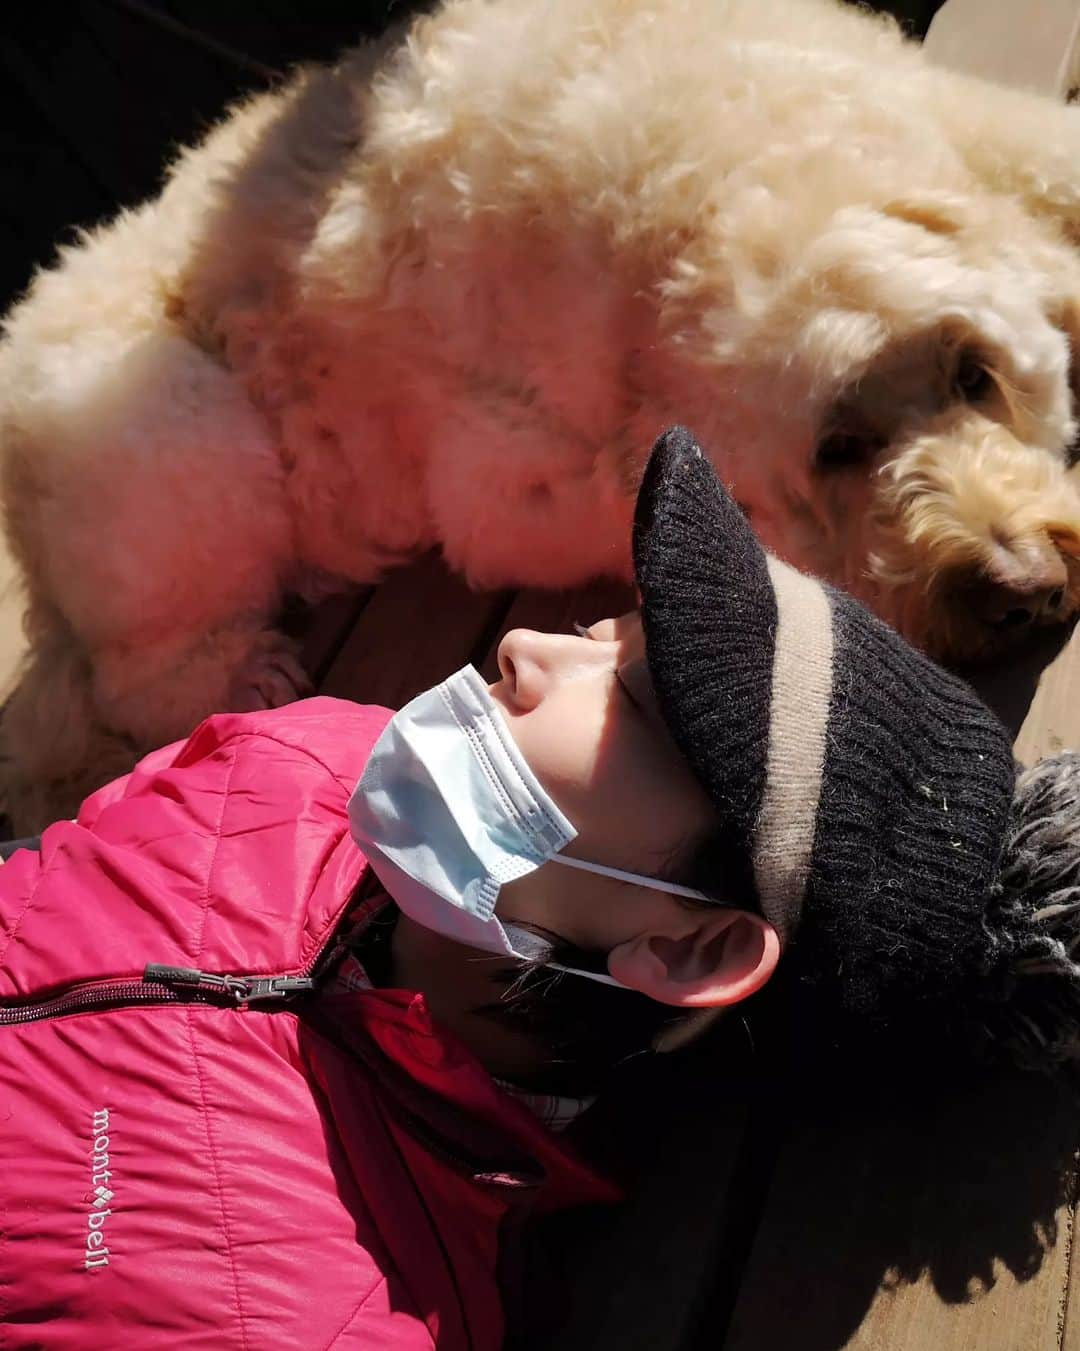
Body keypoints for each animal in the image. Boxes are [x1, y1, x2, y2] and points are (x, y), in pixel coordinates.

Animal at [4, 0, 1080, 821]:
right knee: (141, 667)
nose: (1018, 587)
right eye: (838, 447)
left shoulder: (949, 112)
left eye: (975, 373)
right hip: (171, 427)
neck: (714, 185)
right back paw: (243, 673)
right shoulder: (503, 484)